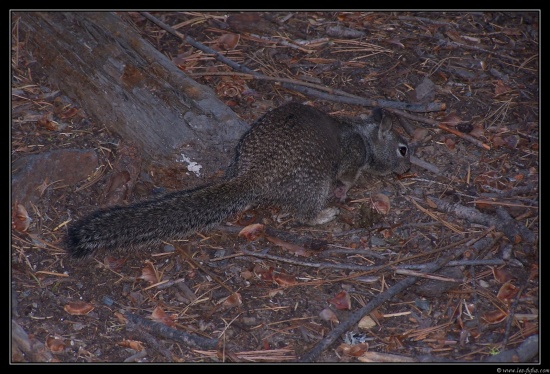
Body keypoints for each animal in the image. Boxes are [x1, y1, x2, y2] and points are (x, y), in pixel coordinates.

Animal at [67, 103, 412, 258]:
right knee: (303, 215)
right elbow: (347, 177)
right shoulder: (353, 157)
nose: (409, 169)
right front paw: (343, 193)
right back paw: (325, 213)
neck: (364, 135)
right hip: (313, 185)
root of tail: (252, 176)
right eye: (403, 149)